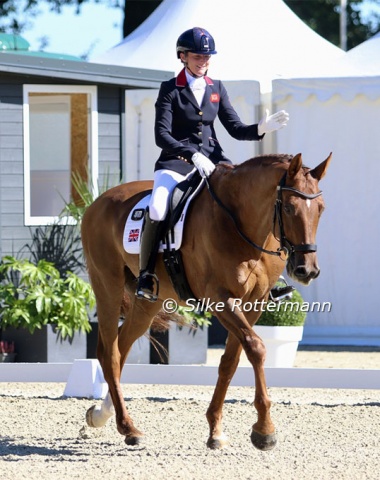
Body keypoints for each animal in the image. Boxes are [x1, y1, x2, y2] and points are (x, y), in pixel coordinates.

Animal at [81, 153, 332, 450]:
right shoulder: (220, 299)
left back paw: (103, 415)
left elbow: (231, 360)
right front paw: (264, 430)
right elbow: (256, 348)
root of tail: (97, 203)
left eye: (321, 209)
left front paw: (216, 430)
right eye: (291, 208)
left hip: (149, 302)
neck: (241, 223)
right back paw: (126, 426)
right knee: (110, 352)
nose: (308, 270)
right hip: (107, 284)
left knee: (122, 347)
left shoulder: (254, 304)